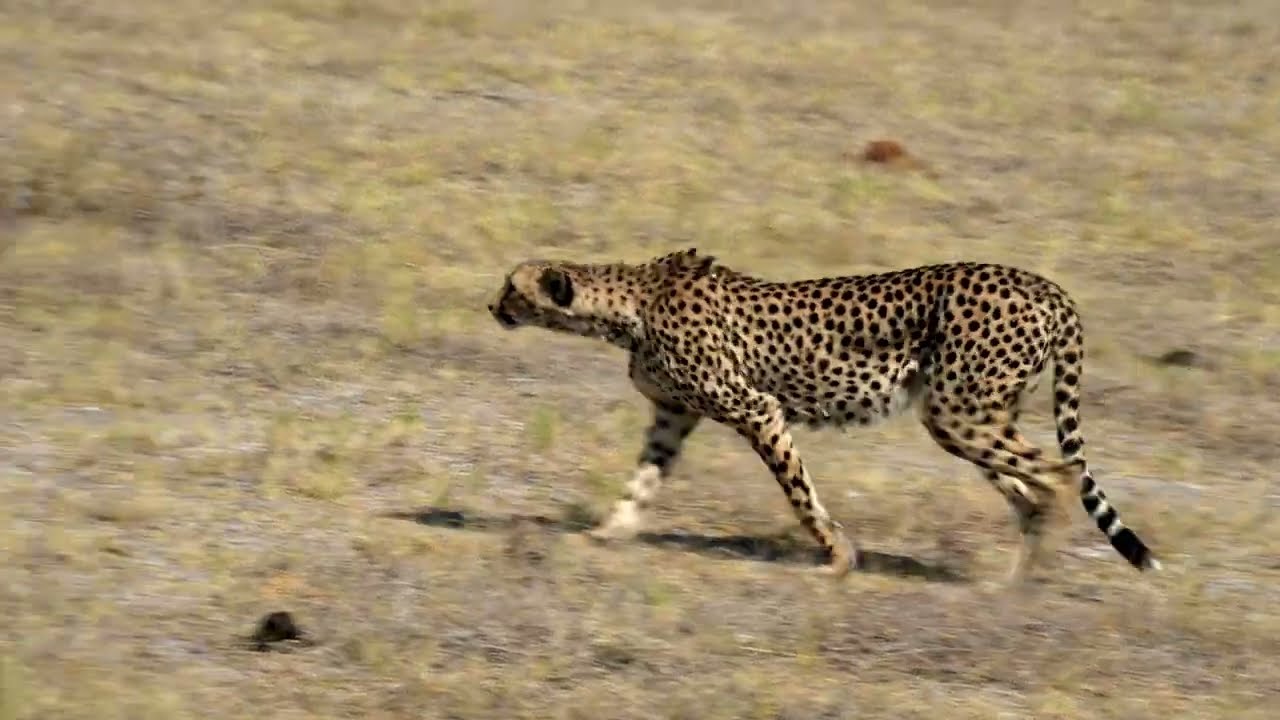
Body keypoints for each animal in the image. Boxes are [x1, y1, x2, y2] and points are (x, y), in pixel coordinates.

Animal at [486, 247, 1161, 584]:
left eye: (513, 287)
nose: (491, 305)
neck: (632, 303)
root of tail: (1047, 286)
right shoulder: (674, 416)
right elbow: (642, 481)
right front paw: (605, 533)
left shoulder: (756, 409)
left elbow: (799, 493)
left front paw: (837, 556)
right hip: (974, 413)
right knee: (1029, 489)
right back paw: (1013, 574)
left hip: (958, 412)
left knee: (1060, 478)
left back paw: (1027, 578)